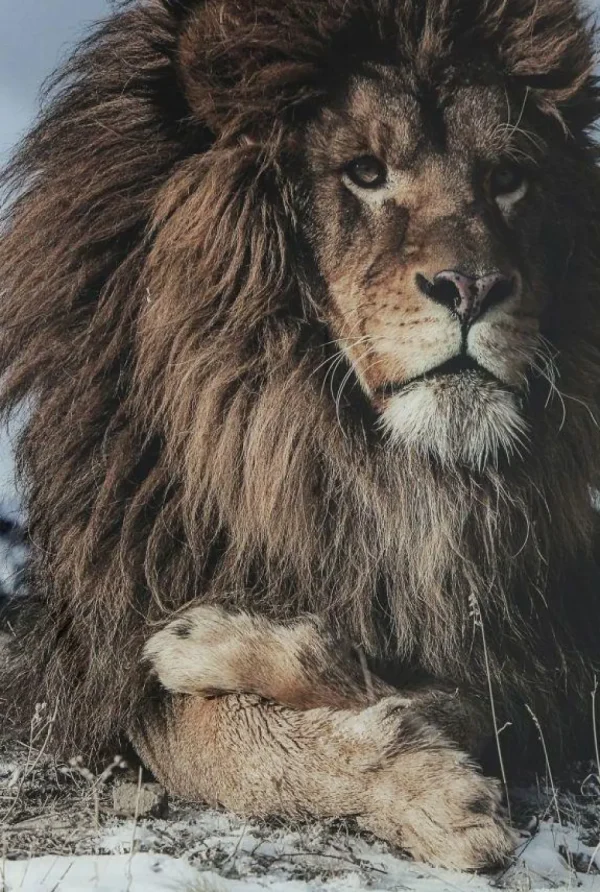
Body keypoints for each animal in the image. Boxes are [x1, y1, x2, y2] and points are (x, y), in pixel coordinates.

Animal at [2, 0, 600, 871]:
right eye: (365, 171)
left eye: (508, 179)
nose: (473, 286)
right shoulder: (96, 651)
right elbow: (204, 738)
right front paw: (427, 789)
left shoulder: (546, 642)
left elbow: (447, 691)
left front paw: (208, 643)